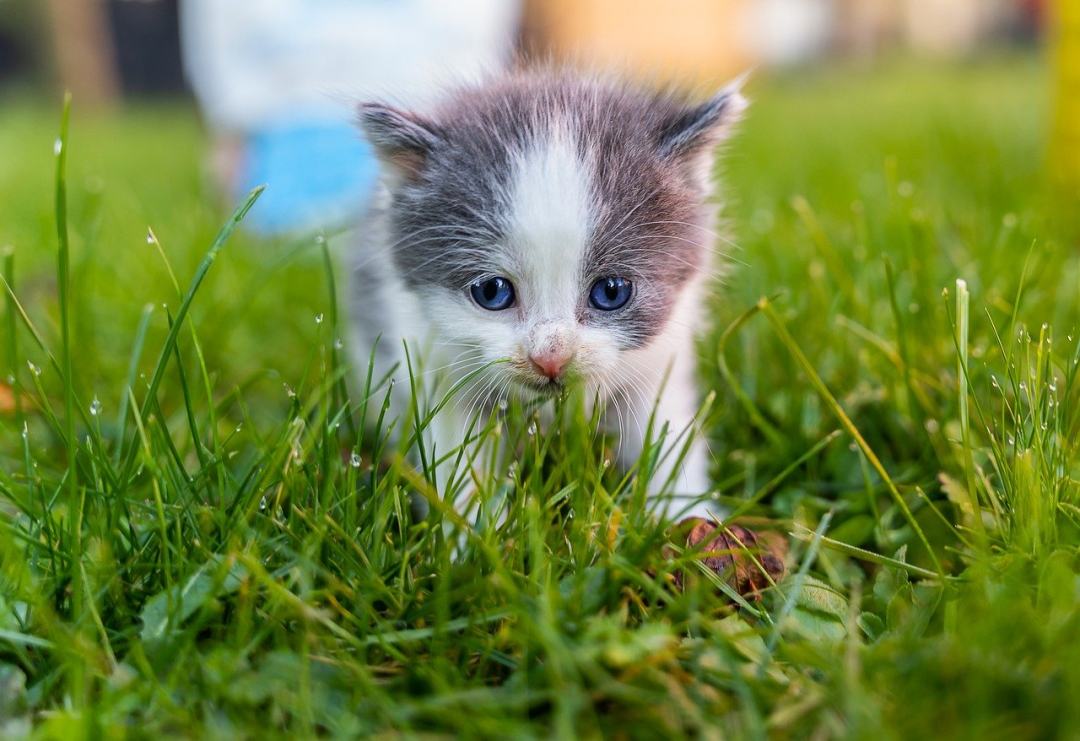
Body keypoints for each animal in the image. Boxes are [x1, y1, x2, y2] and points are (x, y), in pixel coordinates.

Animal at [349, 69, 747, 522]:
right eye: (492, 291)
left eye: (611, 291)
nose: (551, 357)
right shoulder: (432, 360)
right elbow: (457, 457)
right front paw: (469, 532)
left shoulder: (660, 360)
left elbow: (665, 431)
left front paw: (684, 519)